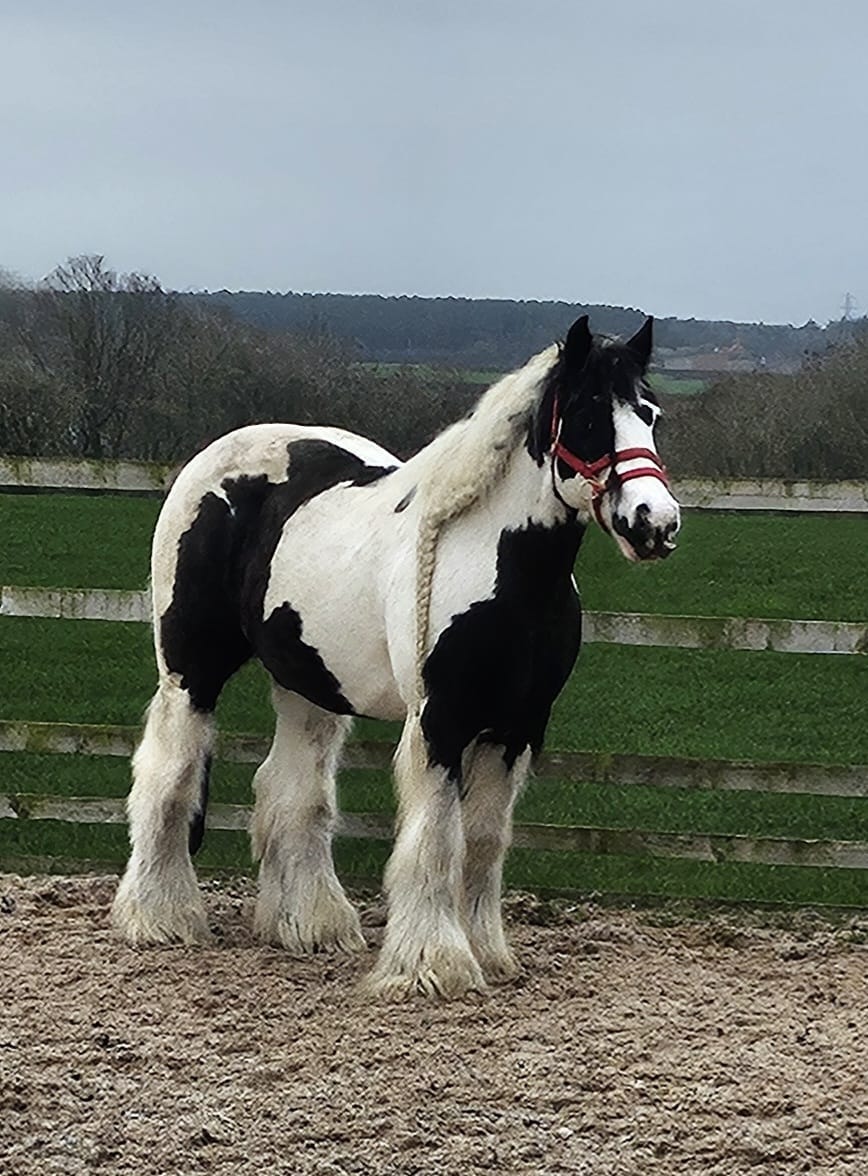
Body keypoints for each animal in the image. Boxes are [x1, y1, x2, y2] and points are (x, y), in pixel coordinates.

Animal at [112, 314, 680, 998]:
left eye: (649, 413)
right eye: (589, 413)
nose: (655, 523)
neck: (501, 567)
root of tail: (214, 459)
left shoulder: (518, 727)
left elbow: (483, 840)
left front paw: (487, 954)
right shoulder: (441, 721)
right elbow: (436, 838)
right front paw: (434, 965)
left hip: (308, 687)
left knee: (291, 792)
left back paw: (311, 926)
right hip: (189, 673)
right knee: (168, 777)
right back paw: (160, 918)